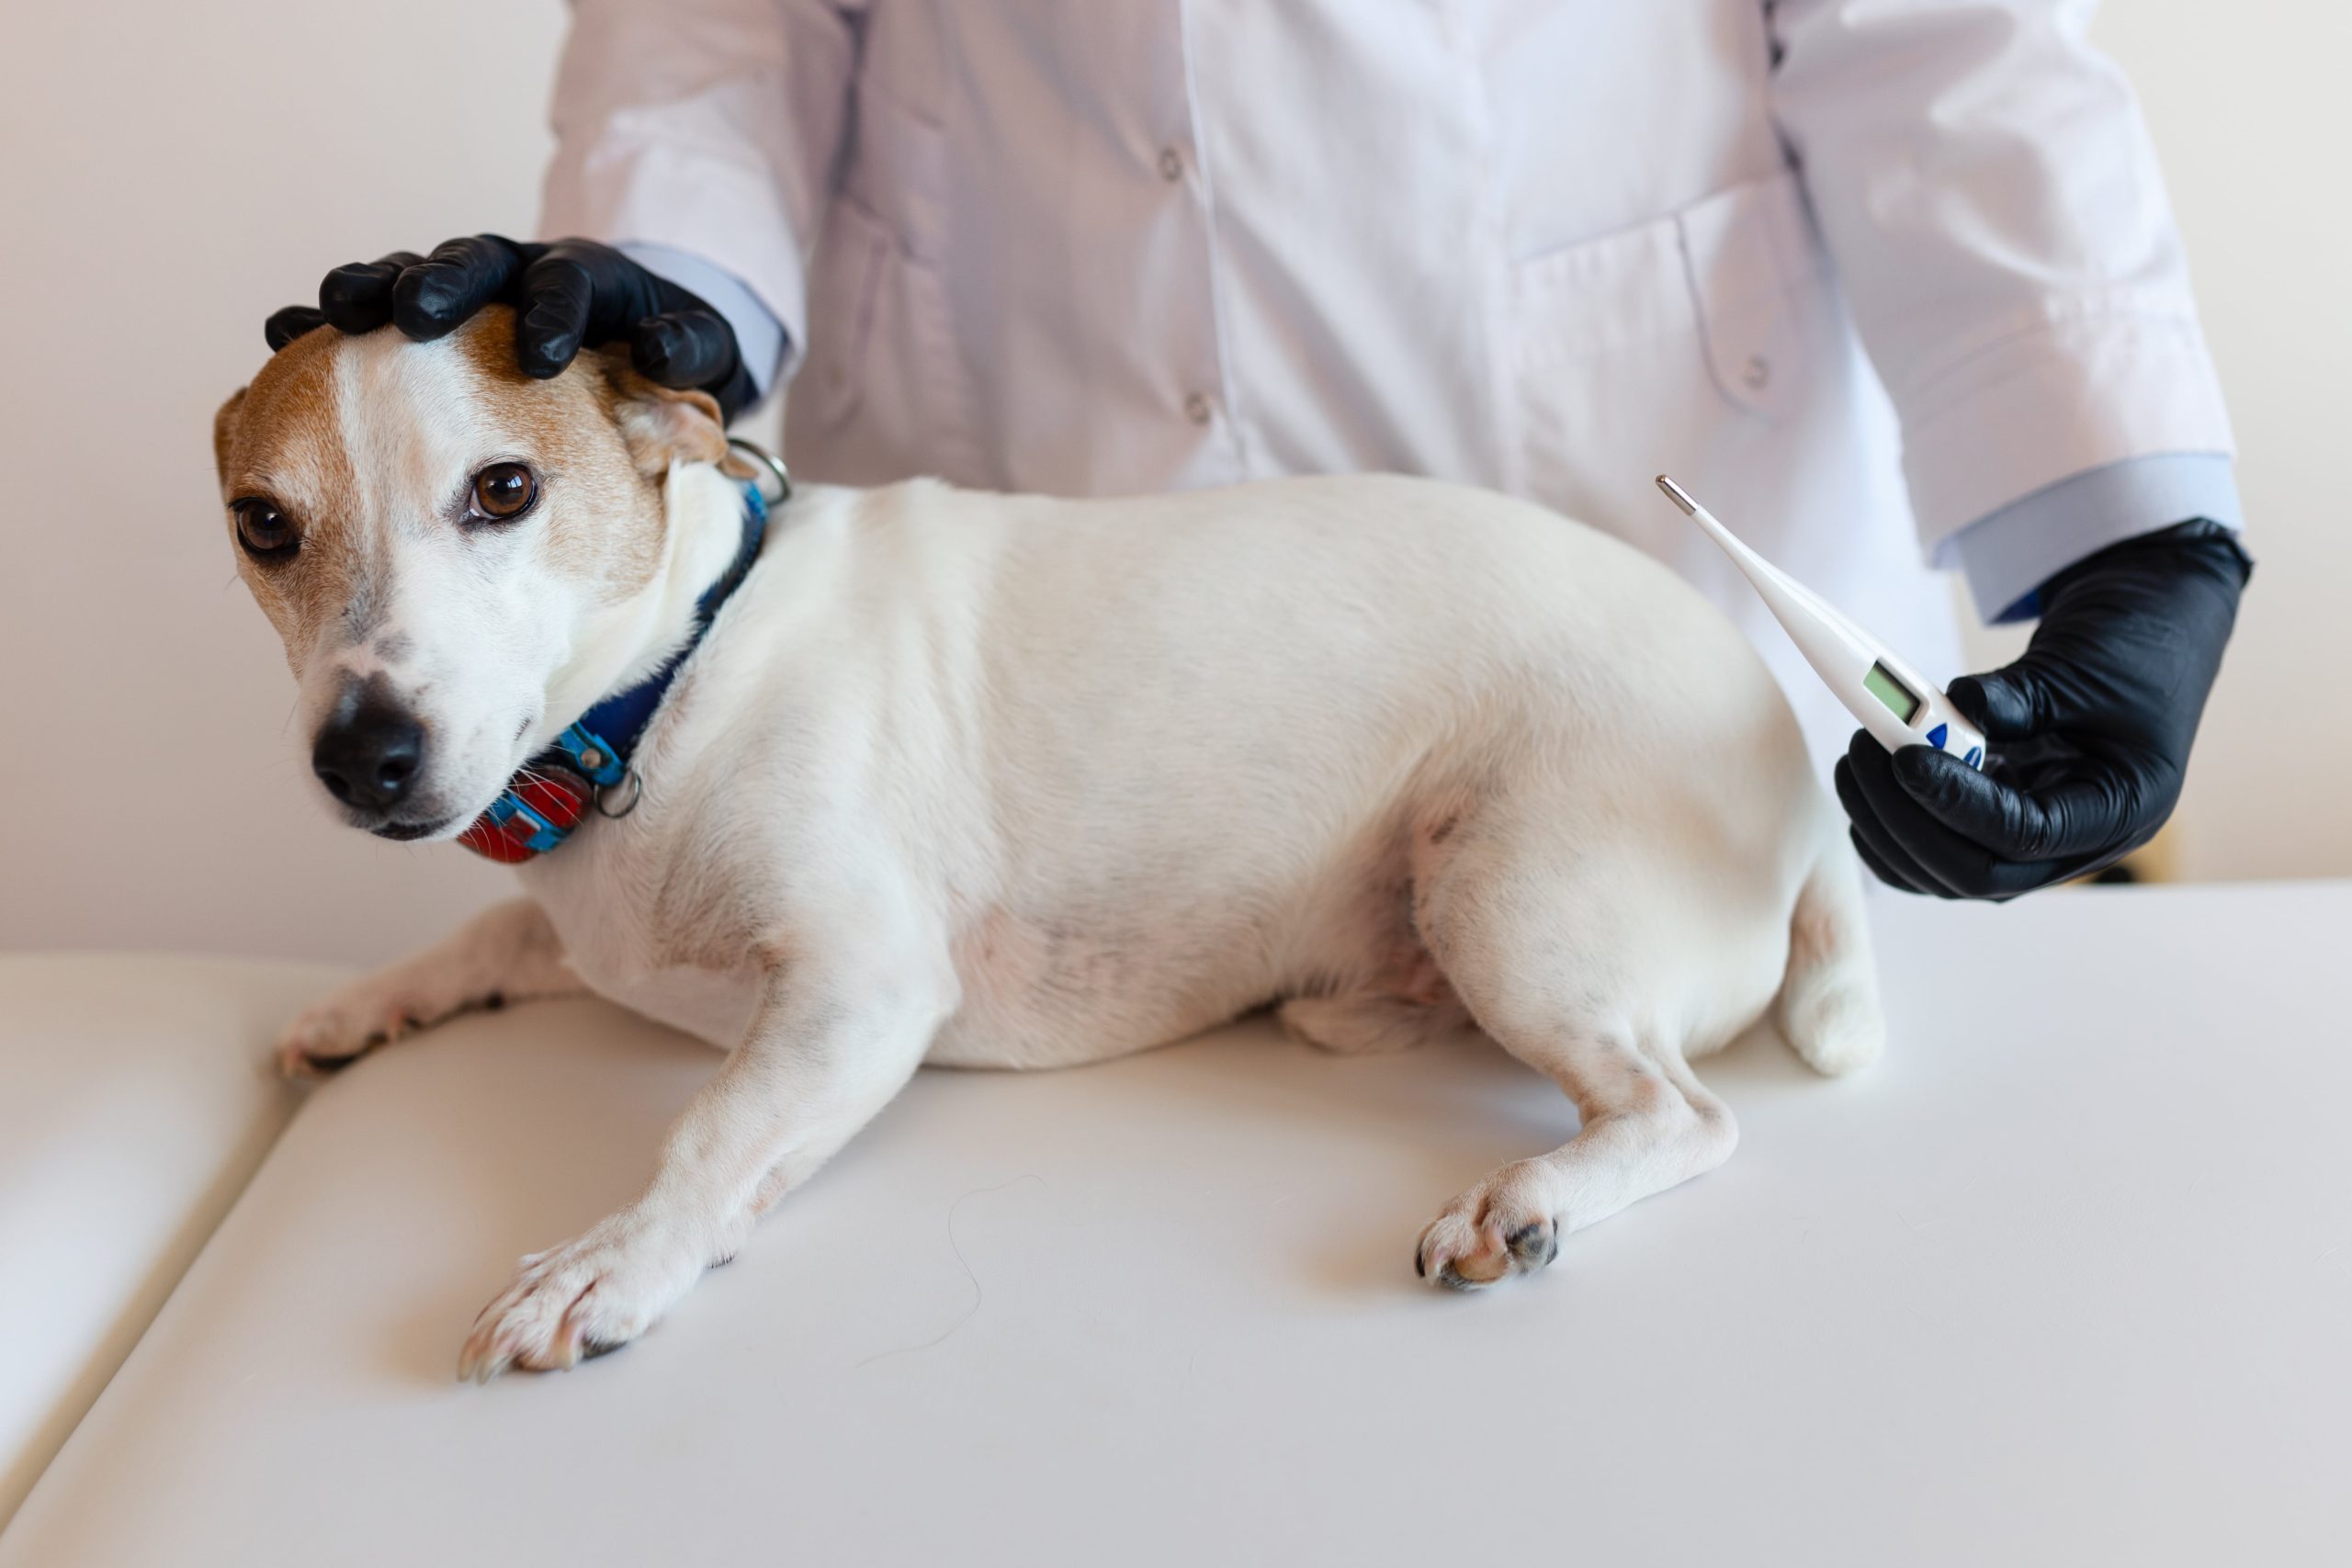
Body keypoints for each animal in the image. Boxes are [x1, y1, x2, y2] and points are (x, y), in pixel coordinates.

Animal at [211, 310, 1882, 1382]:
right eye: (261, 522)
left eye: (505, 489)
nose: (364, 754)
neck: (668, 684)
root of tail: (1798, 772)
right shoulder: (601, 924)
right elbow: (494, 937)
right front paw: (366, 1003)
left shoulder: (859, 990)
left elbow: (708, 1132)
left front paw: (613, 1258)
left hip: (1504, 889)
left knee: (1682, 1113)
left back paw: (1526, 1197)